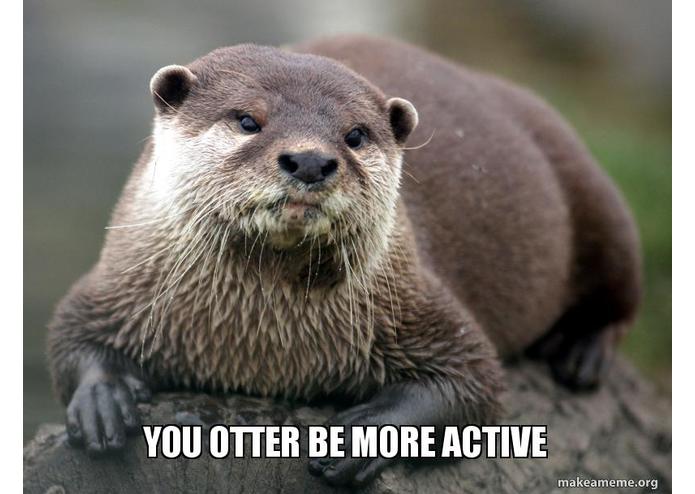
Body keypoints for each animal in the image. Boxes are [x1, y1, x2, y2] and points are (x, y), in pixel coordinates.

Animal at [47, 35, 641, 487]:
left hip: (594, 195)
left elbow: (476, 384)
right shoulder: (116, 280)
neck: (256, 348)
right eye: (248, 120)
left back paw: (581, 352)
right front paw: (103, 397)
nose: (310, 159)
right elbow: (69, 334)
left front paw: (361, 435)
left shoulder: (424, 305)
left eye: (354, 134)